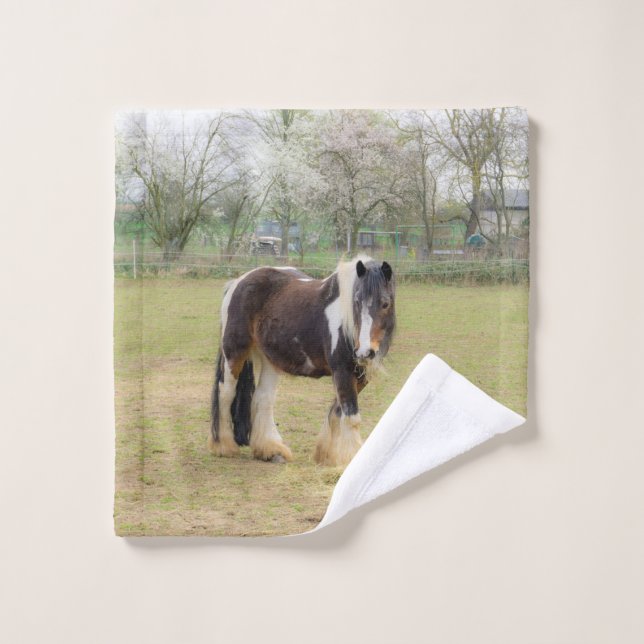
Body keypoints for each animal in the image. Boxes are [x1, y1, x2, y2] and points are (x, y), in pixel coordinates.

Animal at [208, 255, 395, 467]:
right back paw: (224, 446)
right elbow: (351, 417)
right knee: (225, 393)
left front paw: (326, 454)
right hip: (234, 353)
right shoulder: (343, 371)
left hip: (270, 360)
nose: (364, 352)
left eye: (385, 304)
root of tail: (237, 282)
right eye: (356, 302)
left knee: (263, 398)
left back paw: (271, 450)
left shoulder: (359, 375)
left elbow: (337, 410)